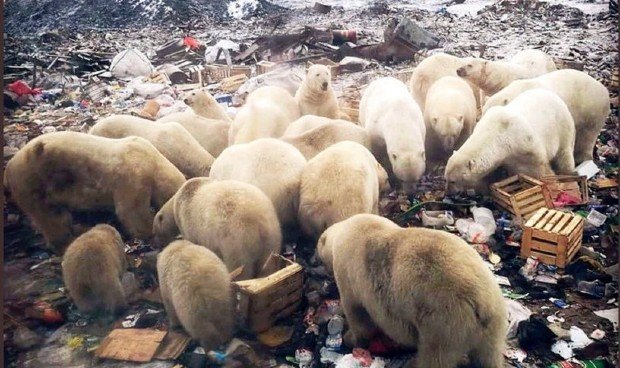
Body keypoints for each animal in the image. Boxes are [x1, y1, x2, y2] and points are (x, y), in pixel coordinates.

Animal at [4, 132, 184, 253]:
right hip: (34, 182)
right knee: (52, 218)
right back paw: (67, 241)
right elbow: (131, 211)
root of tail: (8, 168)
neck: (153, 161)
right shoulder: (133, 176)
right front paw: (148, 232)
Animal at [318, 213, 506, 368]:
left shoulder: (349, 273)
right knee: (489, 355)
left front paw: (349, 338)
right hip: (493, 322)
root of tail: (481, 302)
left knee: (435, 356)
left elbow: (358, 314)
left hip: (444, 322)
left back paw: (414, 363)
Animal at [446, 89, 576, 194]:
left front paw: (553, 186)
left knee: (565, 154)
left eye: (453, 181)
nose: (449, 193)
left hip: (562, 126)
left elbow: (540, 169)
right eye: (446, 178)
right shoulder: (506, 158)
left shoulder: (525, 145)